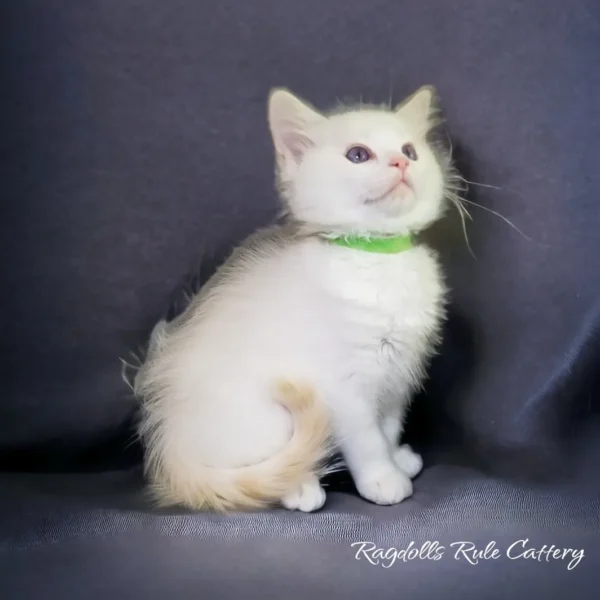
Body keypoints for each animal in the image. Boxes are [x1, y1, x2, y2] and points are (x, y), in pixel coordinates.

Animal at [135, 86, 450, 512]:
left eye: (410, 150)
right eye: (358, 155)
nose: (401, 162)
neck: (376, 258)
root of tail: (169, 452)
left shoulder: (398, 373)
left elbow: (388, 425)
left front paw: (397, 458)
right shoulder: (342, 387)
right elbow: (367, 440)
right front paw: (383, 479)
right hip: (268, 413)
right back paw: (299, 487)